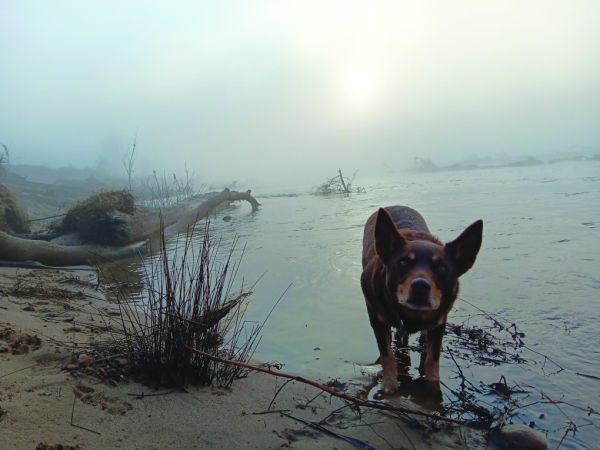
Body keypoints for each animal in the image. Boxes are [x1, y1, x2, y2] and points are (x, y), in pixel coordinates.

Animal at [360, 207, 482, 394]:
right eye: (403, 262)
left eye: (441, 267)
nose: (420, 286)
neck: (412, 314)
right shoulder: (377, 319)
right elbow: (387, 355)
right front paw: (389, 384)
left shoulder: (439, 323)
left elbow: (432, 358)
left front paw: (433, 385)